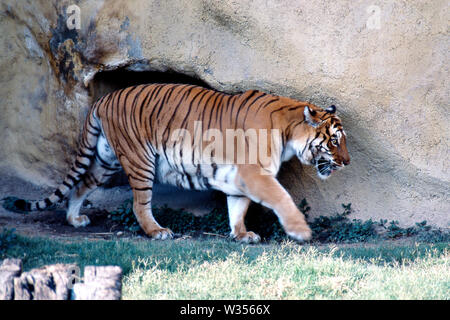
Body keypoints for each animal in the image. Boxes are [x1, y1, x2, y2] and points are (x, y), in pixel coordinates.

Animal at [9, 82, 348, 242]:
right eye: (334, 140)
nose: (346, 162)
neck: (289, 129)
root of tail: (104, 99)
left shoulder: (239, 178)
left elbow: (237, 207)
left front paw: (241, 235)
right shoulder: (256, 174)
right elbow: (281, 197)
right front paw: (300, 231)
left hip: (107, 160)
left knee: (82, 184)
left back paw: (74, 219)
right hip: (140, 160)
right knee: (139, 204)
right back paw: (157, 231)